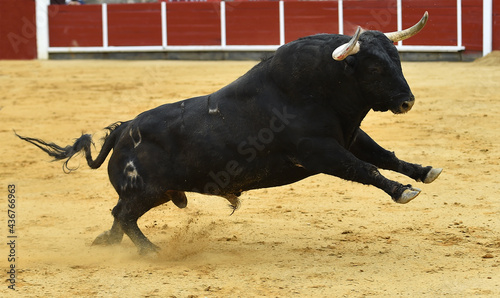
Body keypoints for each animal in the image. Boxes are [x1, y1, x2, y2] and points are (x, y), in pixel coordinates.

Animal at [18, 27, 442, 254]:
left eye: (398, 60)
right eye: (374, 67)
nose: (407, 101)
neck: (318, 87)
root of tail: (124, 128)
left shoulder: (348, 137)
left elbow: (383, 155)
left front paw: (423, 172)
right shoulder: (320, 151)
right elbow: (365, 168)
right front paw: (403, 191)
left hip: (151, 192)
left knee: (117, 214)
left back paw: (106, 242)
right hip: (147, 190)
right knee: (123, 215)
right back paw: (151, 251)